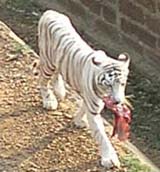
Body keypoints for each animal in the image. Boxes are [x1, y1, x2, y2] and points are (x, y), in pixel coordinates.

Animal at [33, 10, 131, 169]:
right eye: (108, 84)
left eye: (122, 83)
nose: (117, 102)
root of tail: (50, 12)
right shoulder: (93, 105)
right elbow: (101, 135)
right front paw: (109, 159)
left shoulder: (93, 100)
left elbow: (83, 109)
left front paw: (78, 120)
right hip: (48, 62)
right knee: (42, 80)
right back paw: (49, 100)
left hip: (57, 62)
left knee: (57, 74)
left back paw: (60, 91)